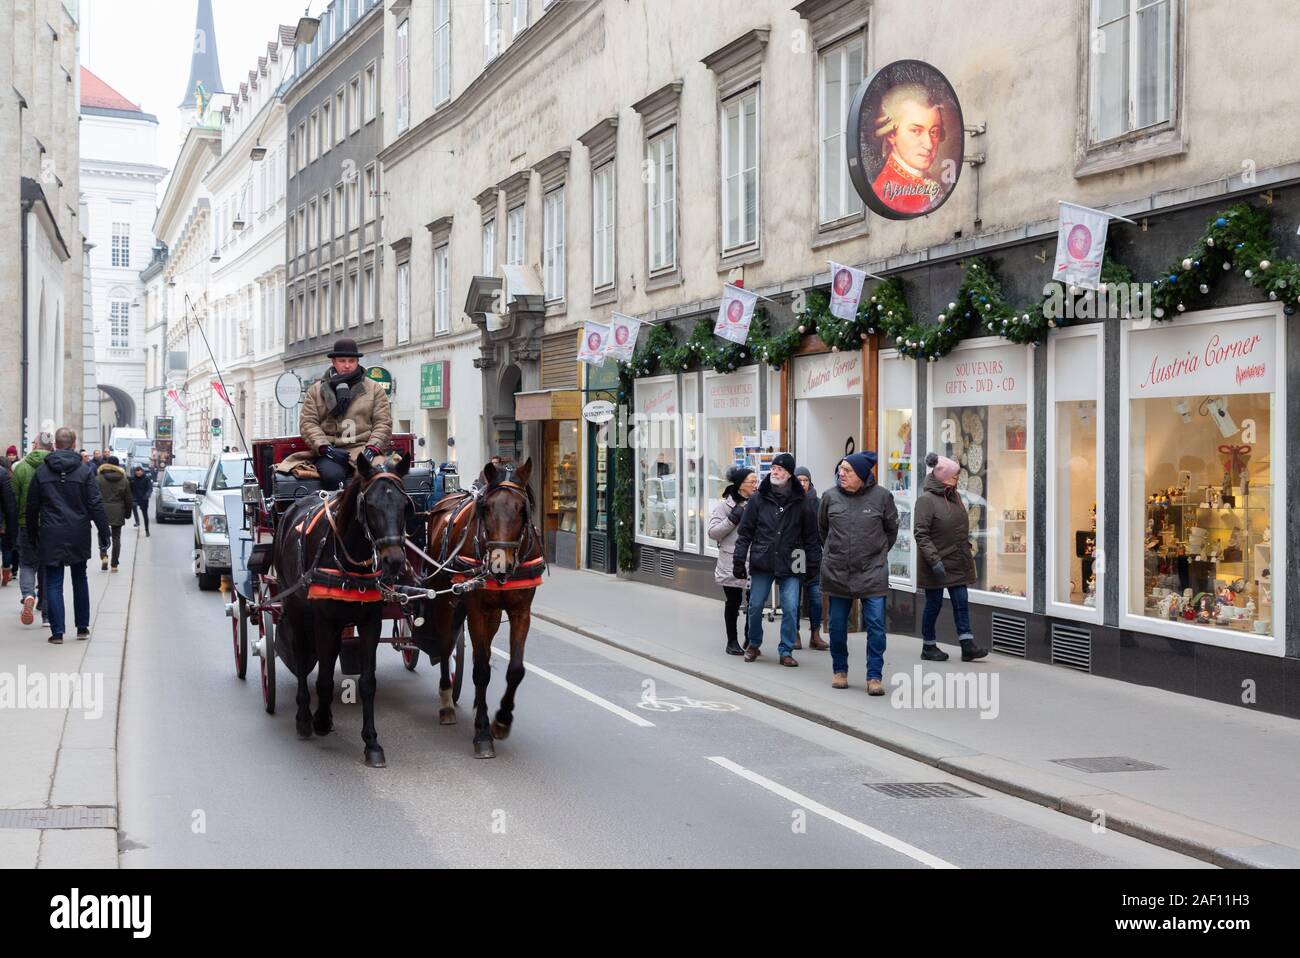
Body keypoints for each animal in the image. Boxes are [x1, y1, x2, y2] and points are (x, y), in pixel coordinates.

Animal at [271, 452, 413, 764]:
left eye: (405, 505)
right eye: (370, 505)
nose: (394, 561)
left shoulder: (370, 620)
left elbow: (368, 682)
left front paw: (372, 743)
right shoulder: (324, 620)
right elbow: (323, 678)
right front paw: (321, 721)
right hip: (296, 609)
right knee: (302, 660)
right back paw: (304, 718)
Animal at [413, 460, 540, 759]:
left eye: (522, 508)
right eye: (487, 507)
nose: (499, 564)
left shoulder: (521, 612)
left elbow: (515, 670)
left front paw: (502, 721)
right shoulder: (476, 610)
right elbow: (481, 670)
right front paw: (482, 733)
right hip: (444, 599)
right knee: (445, 644)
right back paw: (446, 701)